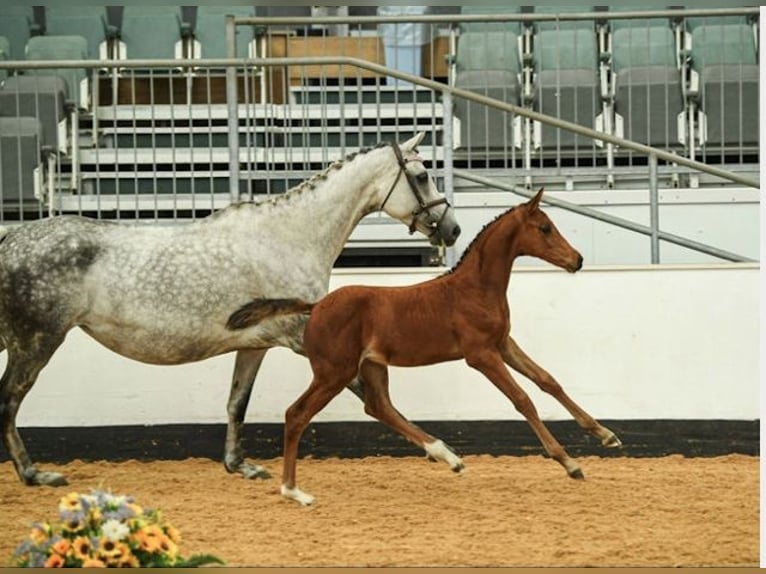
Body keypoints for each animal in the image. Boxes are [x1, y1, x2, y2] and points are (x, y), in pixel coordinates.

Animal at [0, 132, 462, 487]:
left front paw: (239, 466)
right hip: (36, 342)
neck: (288, 238)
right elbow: (375, 399)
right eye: (422, 176)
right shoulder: (304, 336)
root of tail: (11, 239)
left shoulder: (255, 343)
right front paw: (445, 454)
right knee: (9, 400)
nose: (453, 229)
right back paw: (34, 474)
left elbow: (237, 402)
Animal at [227, 189, 622, 505]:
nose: (577, 260)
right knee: (297, 414)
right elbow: (522, 399)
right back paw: (294, 491)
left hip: (371, 366)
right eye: (544, 228)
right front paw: (569, 463)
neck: (475, 289)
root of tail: (316, 306)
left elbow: (548, 381)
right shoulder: (481, 355)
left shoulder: (503, 344)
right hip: (333, 373)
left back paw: (448, 456)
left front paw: (607, 436)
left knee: (379, 406)